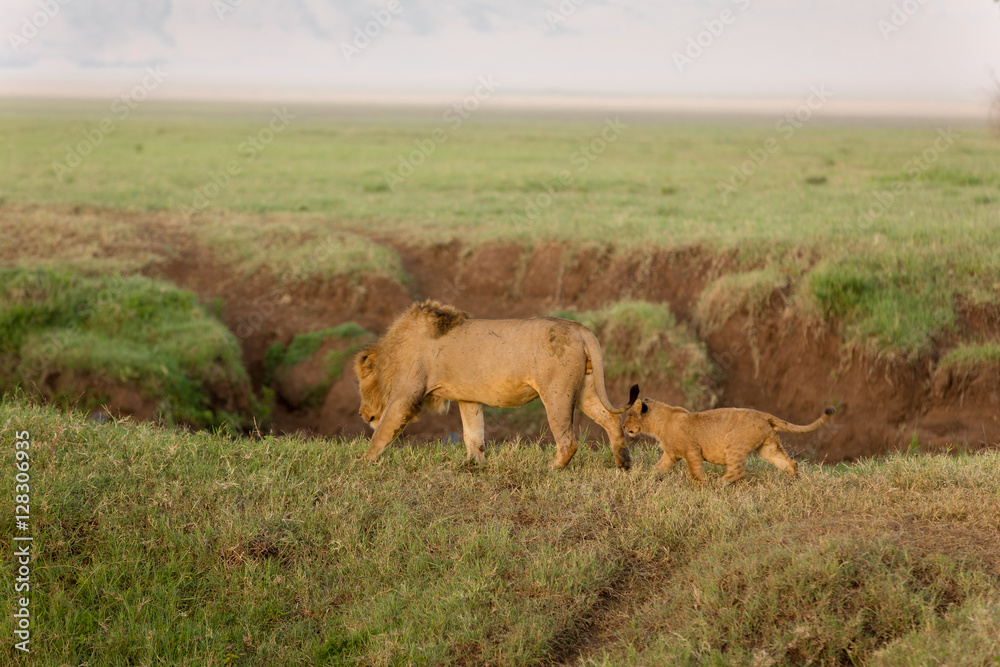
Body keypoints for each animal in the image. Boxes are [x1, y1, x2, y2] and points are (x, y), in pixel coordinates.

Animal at [353, 300, 639, 469]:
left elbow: (382, 432)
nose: (362, 414)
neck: (392, 354)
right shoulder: (468, 398)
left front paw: (362, 463)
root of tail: (580, 328)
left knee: (568, 442)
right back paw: (623, 463)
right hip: (584, 391)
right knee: (611, 420)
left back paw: (550, 470)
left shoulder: (405, 397)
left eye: (362, 384)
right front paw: (474, 466)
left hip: (557, 393)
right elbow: (473, 434)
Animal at [622, 398, 834, 484]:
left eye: (630, 415)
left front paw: (703, 485)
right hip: (767, 447)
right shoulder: (671, 454)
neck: (659, 421)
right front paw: (645, 479)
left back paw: (720, 483)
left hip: (733, 441)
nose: (624, 426)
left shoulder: (692, 451)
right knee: (790, 462)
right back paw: (792, 482)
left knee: (738, 471)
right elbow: (657, 468)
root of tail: (763, 414)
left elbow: (695, 472)